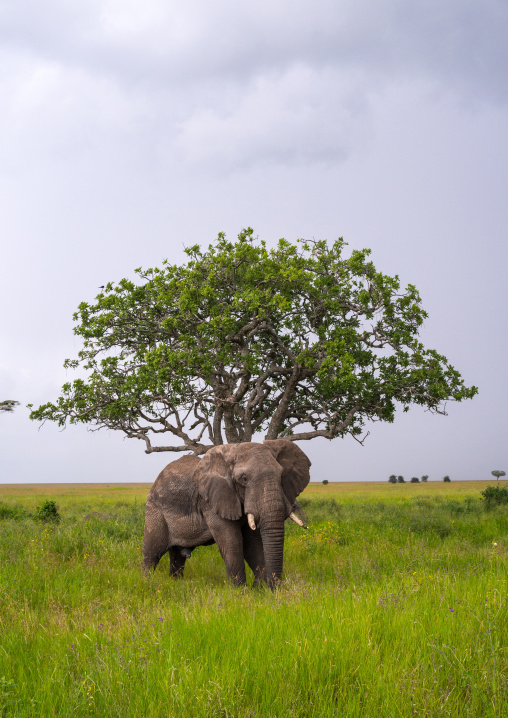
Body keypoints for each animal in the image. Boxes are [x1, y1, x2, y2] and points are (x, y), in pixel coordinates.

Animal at [142, 439, 311, 588]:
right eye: (244, 479)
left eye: (281, 476)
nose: (274, 587)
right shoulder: (211, 501)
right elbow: (232, 542)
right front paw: (241, 592)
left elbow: (252, 543)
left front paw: (259, 590)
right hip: (154, 510)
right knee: (152, 553)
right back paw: (147, 583)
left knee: (177, 556)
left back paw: (175, 584)